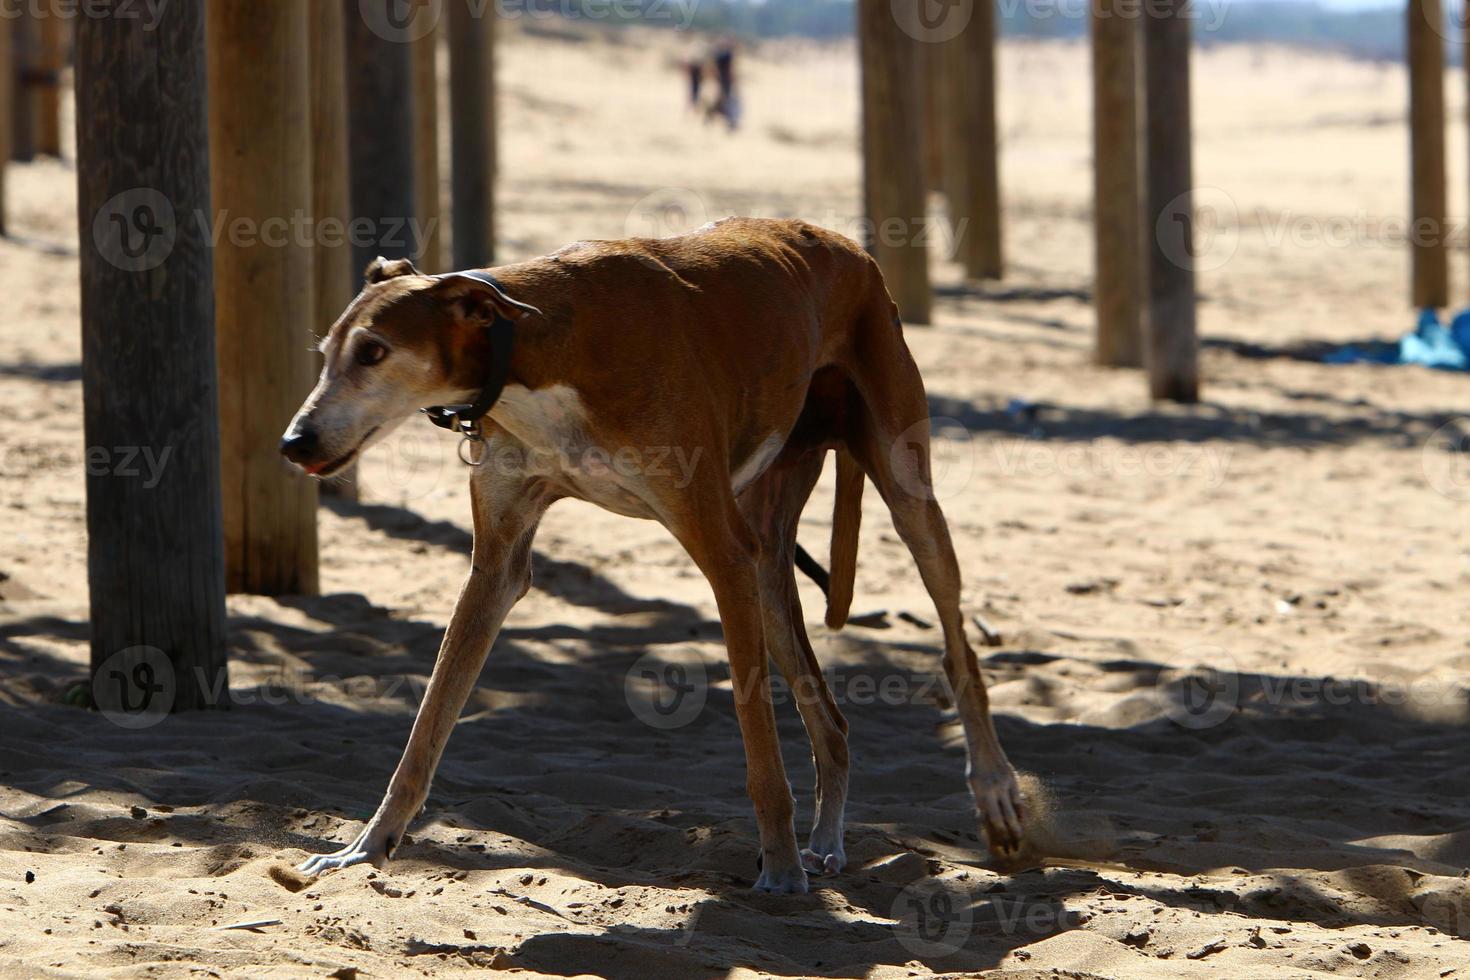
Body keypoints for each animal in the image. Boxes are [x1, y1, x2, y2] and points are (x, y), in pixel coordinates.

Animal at [280, 215, 1029, 899]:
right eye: (326, 351)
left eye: (374, 351)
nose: (295, 441)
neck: (536, 348)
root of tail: (852, 249)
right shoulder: (496, 567)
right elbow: (428, 725)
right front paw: (366, 847)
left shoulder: (720, 552)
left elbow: (759, 744)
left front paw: (780, 872)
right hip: (769, 559)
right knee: (833, 719)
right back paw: (825, 842)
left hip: (902, 494)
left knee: (956, 643)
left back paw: (993, 793)